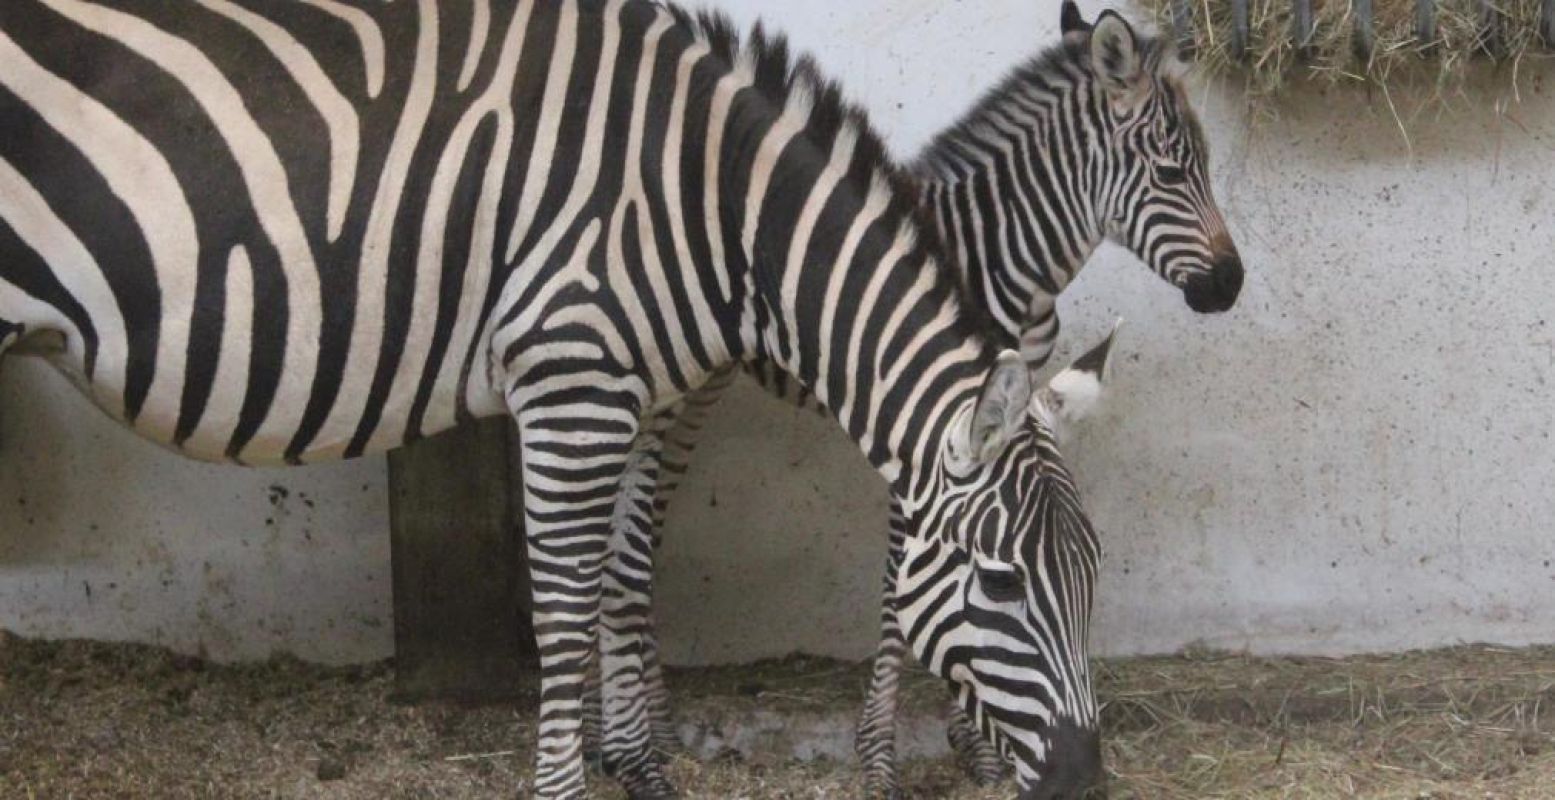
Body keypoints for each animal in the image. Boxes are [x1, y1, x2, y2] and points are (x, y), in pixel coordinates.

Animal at [594, 4, 1237, 790]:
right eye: (1173, 172)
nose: (1230, 284)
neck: (1007, 256)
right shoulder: (926, 425)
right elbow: (903, 591)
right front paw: (885, 757)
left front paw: (979, 745)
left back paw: (647, 729)